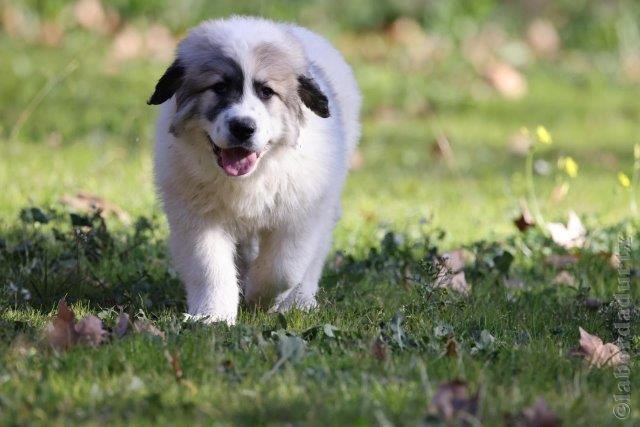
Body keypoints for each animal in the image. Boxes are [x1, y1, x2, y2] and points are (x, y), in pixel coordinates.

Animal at [148, 16, 362, 324]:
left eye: (266, 92)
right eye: (219, 88)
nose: (243, 127)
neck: (252, 175)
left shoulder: (301, 216)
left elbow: (283, 269)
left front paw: (260, 297)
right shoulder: (196, 218)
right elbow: (209, 267)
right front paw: (213, 316)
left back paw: (300, 301)